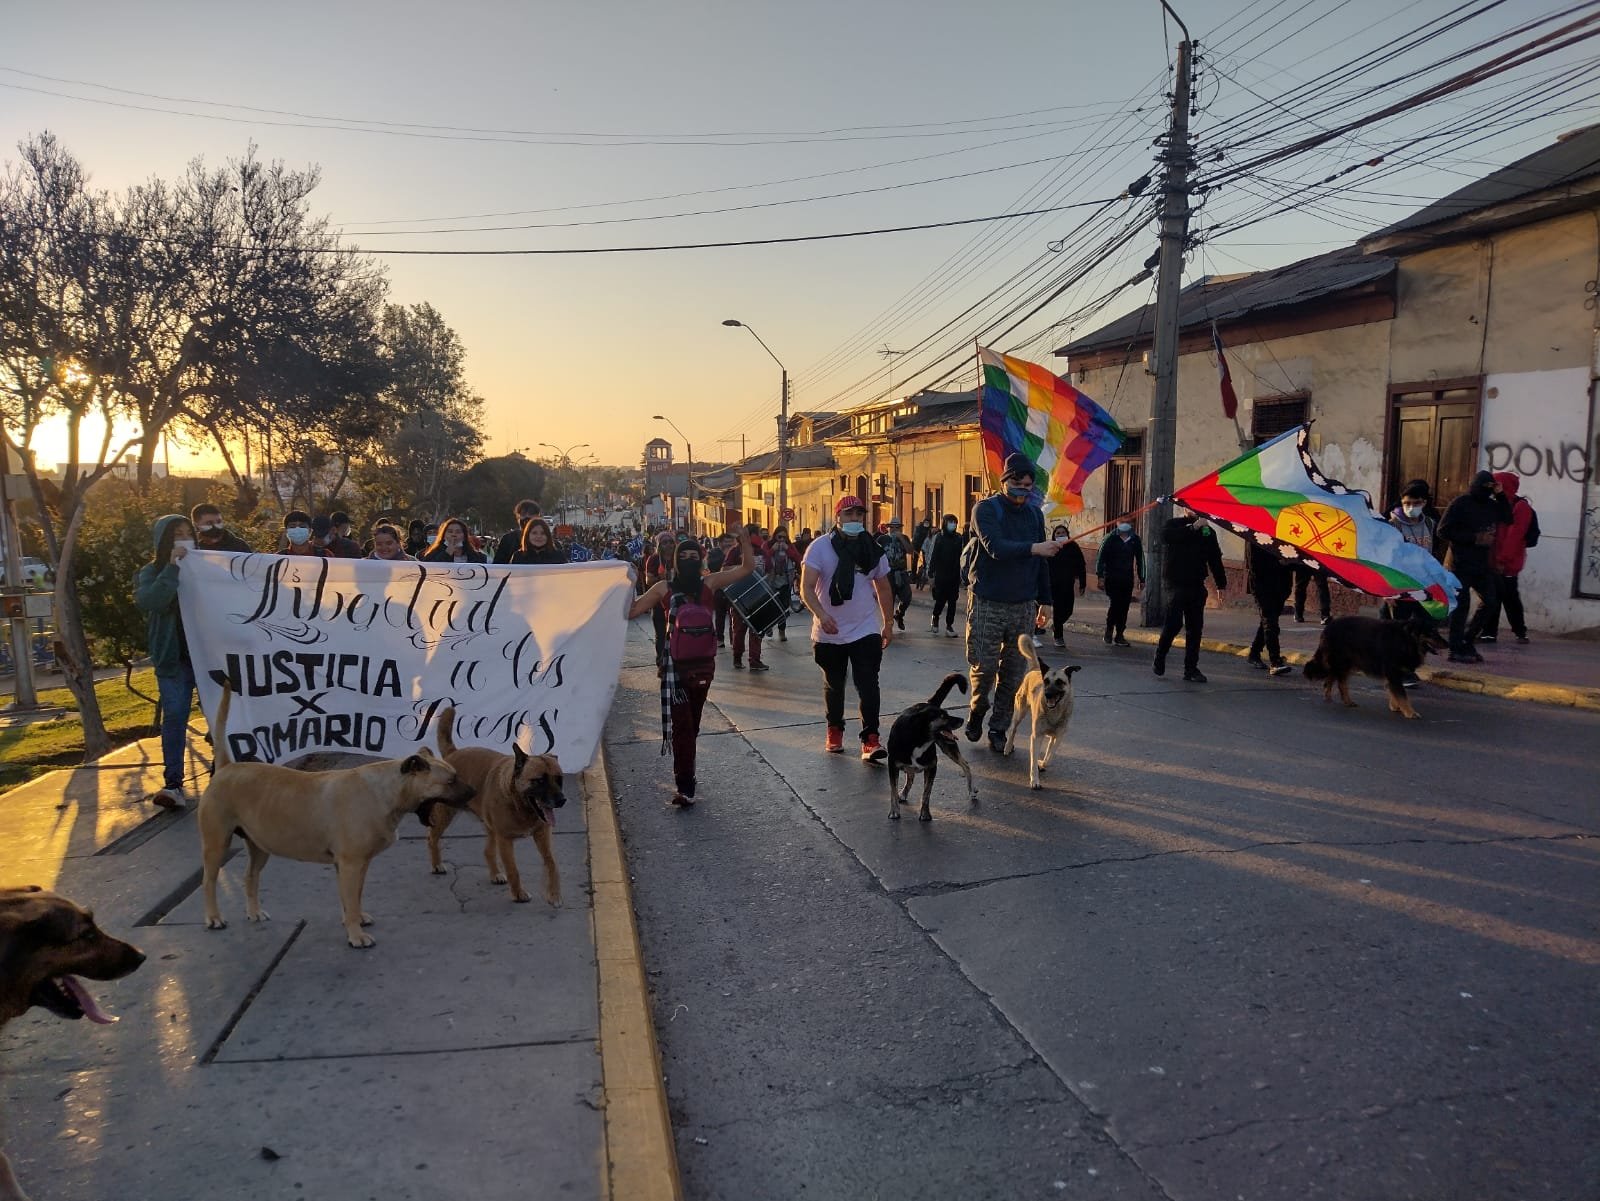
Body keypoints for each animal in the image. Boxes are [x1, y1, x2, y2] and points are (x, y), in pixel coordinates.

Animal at [200, 684, 473, 946]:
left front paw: (357, 919)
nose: (473, 791)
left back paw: (254, 912)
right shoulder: (351, 863)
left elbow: (354, 897)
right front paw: (356, 935)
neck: (388, 790)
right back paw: (214, 917)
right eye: (451, 781)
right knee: (209, 881)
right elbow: (350, 900)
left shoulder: (359, 864)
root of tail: (225, 768)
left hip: (259, 846)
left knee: (251, 876)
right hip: (217, 844)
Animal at [889, 671, 972, 825]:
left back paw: (971, 790)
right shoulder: (892, 766)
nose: (962, 720)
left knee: (965, 764)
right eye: (942, 716)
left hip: (948, 746)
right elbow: (893, 791)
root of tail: (928, 703)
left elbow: (926, 794)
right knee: (910, 776)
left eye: (947, 714)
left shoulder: (932, 767)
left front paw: (925, 814)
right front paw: (894, 811)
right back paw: (903, 793)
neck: (919, 739)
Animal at [1004, 633, 1081, 793]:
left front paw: (1043, 764)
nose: (1047, 694)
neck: (1054, 712)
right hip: (1019, 712)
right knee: (1013, 729)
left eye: (1060, 682)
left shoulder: (1058, 737)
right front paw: (1035, 780)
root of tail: (1035, 668)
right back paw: (1007, 747)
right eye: (1046, 681)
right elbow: (1033, 761)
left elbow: (1049, 756)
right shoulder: (1036, 736)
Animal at [1299, 614, 1452, 719]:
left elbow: (1394, 692)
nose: (1448, 644)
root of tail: (1327, 628)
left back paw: (1329, 696)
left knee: (1331, 677)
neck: (1406, 639)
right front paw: (1409, 712)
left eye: (1437, 631)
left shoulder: (1393, 675)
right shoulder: (1393, 673)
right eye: (1432, 632)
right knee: (1340, 683)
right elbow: (1402, 695)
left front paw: (1395, 706)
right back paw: (1347, 701)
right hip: (1343, 662)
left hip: (1344, 664)